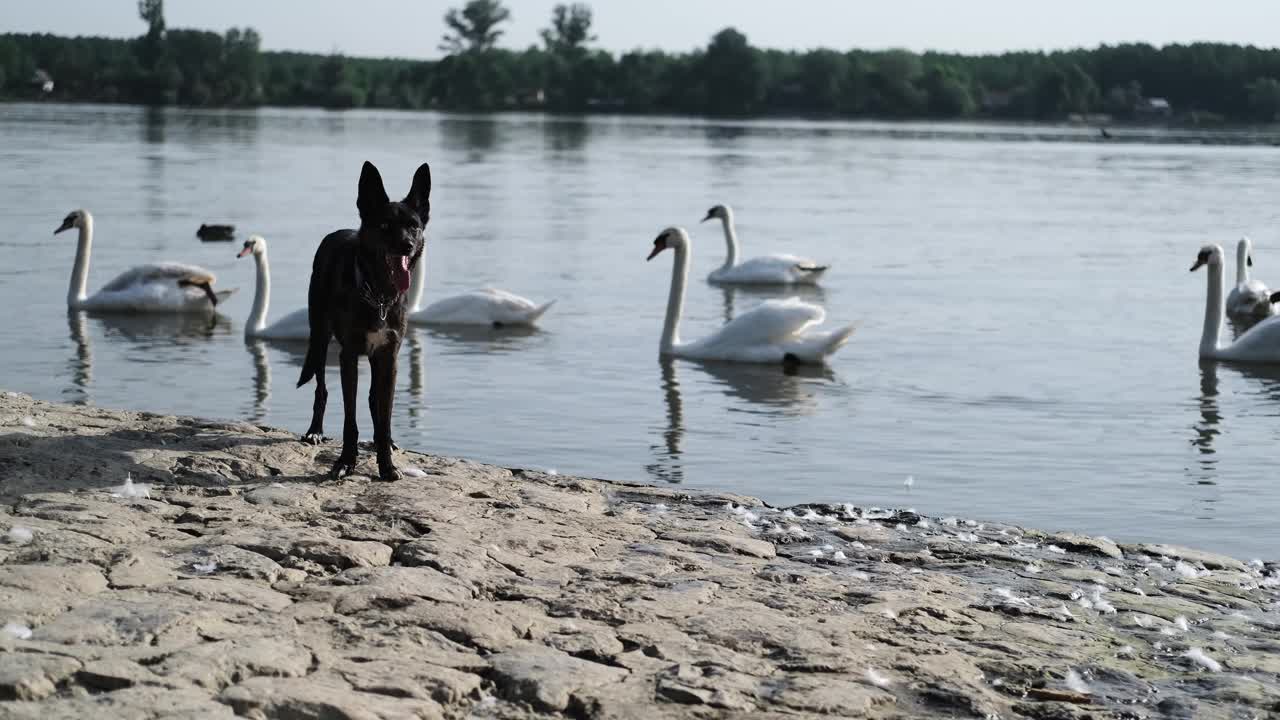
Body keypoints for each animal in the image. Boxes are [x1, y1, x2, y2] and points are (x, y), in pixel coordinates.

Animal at [294, 159, 430, 479]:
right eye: (385, 226)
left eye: (414, 227)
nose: (407, 245)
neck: (378, 294)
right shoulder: (348, 357)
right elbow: (349, 419)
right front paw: (345, 462)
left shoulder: (390, 357)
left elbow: (384, 415)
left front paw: (387, 464)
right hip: (320, 336)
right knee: (321, 388)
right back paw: (315, 431)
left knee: (374, 402)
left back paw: (387, 442)